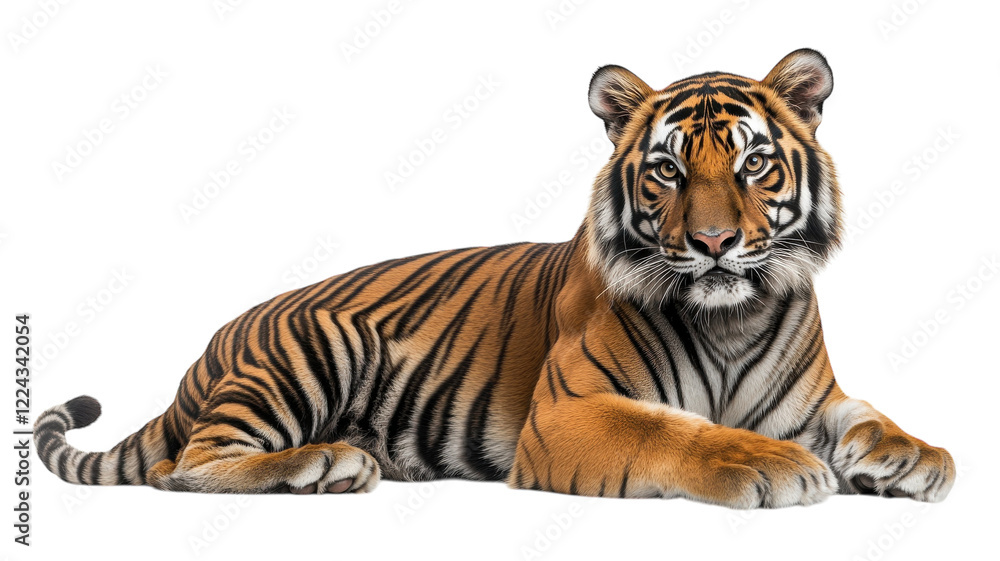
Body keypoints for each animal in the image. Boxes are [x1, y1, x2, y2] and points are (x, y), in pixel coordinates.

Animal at [36, 48, 954, 508]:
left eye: (753, 164)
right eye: (666, 172)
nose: (716, 241)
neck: (731, 317)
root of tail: (205, 350)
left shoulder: (812, 397)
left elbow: (864, 413)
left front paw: (917, 457)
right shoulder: (567, 411)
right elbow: (676, 429)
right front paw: (773, 465)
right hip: (311, 346)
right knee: (185, 464)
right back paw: (325, 463)